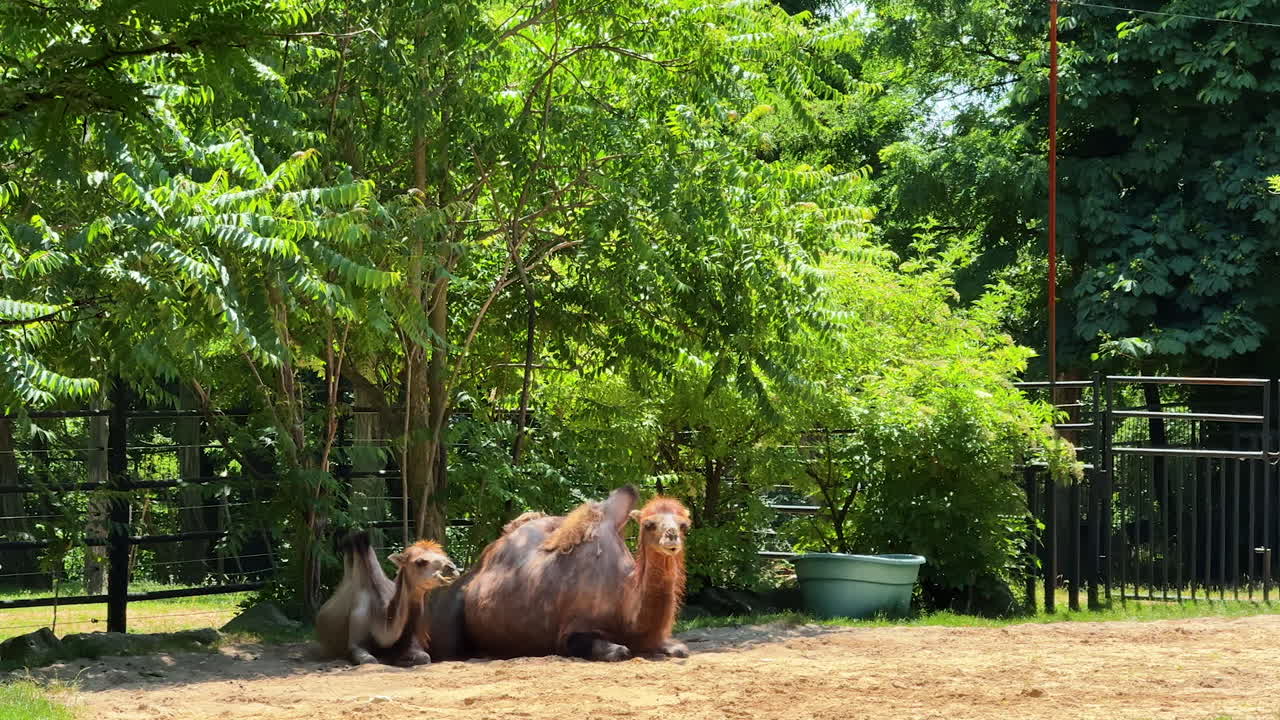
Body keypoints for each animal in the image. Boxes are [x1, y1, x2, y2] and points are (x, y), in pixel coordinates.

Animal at [315, 531, 459, 665]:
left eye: (445, 556)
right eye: (420, 562)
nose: (452, 569)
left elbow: (425, 657)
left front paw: (402, 659)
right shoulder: (355, 643)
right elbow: (370, 660)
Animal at [432, 485, 691, 661]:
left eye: (683, 525)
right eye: (649, 524)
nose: (671, 537)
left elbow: (681, 649)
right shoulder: (571, 631)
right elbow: (618, 651)